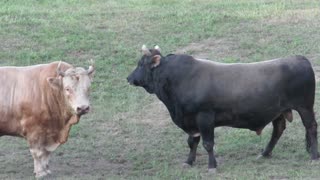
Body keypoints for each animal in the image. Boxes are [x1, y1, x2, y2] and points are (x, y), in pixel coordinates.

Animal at [127, 46, 318, 172]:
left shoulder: (204, 117)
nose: (129, 78)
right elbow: (192, 142)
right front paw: (188, 162)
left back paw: (314, 156)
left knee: (311, 128)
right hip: (278, 111)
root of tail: (299, 58)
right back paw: (265, 153)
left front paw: (212, 166)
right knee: (278, 130)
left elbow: (208, 143)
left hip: (305, 107)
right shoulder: (192, 121)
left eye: (141, 64)